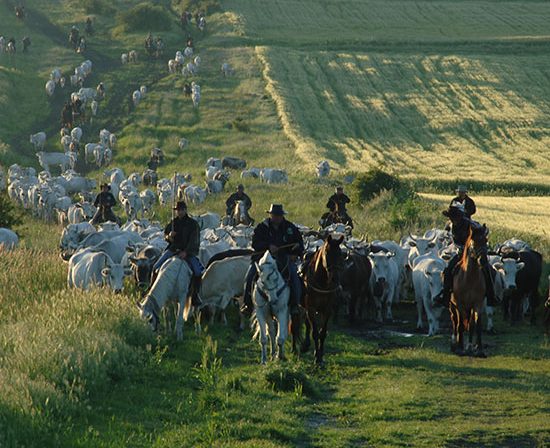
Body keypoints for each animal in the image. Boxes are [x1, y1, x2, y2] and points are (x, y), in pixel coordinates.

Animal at [302, 233, 344, 366]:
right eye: (327, 253)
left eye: (340, 253)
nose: (335, 278)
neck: (322, 283)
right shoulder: (310, 308)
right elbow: (315, 333)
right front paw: (317, 358)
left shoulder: (327, 309)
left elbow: (323, 333)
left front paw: (320, 355)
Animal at [450, 226, 490, 358]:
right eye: (474, 242)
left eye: (485, 241)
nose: (483, 261)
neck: (469, 278)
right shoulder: (460, 304)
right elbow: (460, 325)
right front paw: (460, 348)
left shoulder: (477, 303)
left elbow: (477, 325)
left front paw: (479, 349)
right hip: (452, 306)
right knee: (455, 321)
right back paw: (455, 343)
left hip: (470, 308)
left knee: (470, 324)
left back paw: (470, 346)